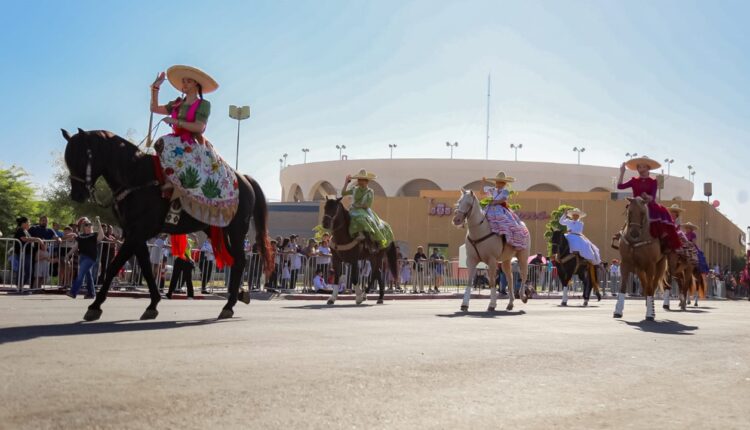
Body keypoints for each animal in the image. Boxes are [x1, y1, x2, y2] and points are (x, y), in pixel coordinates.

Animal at [61, 129, 274, 320]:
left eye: (81, 157)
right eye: (68, 159)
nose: (77, 195)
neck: (136, 178)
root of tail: (244, 178)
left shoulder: (137, 233)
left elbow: (114, 266)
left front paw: (95, 306)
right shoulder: (135, 234)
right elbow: (146, 268)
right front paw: (153, 303)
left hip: (236, 230)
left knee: (240, 261)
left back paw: (229, 306)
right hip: (217, 230)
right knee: (235, 260)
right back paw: (239, 296)